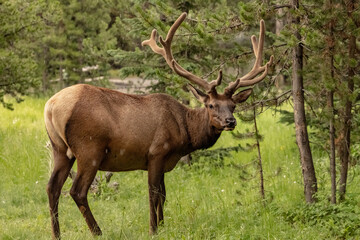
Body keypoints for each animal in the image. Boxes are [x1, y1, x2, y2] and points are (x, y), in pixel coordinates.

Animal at [44, 12, 272, 238]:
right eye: (211, 105)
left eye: (233, 106)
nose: (230, 121)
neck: (185, 133)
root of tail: (51, 106)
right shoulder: (156, 152)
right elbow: (153, 194)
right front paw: (153, 229)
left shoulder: (163, 160)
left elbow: (163, 194)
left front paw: (162, 226)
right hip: (89, 149)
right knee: (77, 191)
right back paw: (98, 232)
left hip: (60, 149)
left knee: (52, 187)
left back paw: (57, 234)